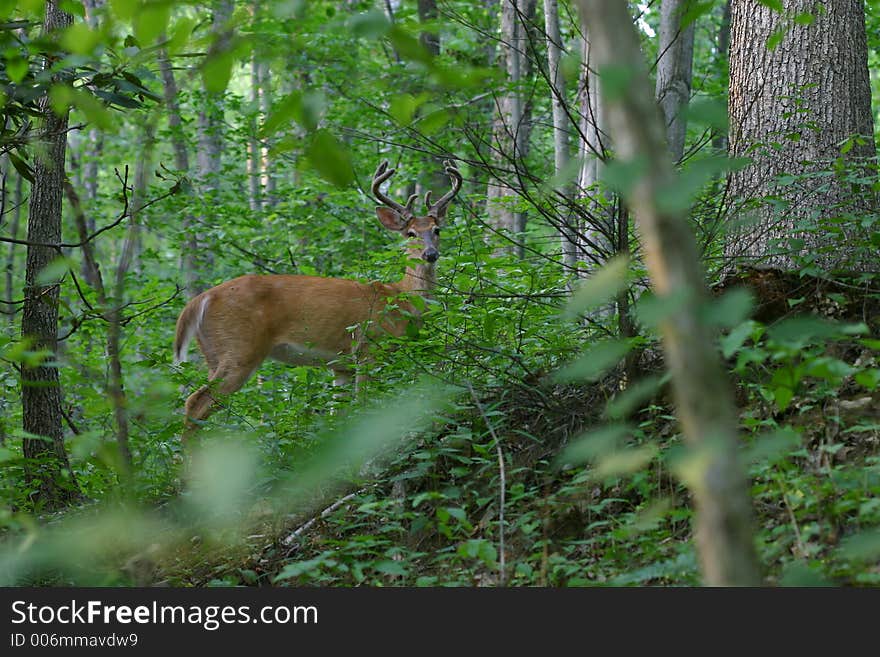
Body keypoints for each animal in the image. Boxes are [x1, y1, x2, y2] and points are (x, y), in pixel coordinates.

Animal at [170, 160, 460, 436]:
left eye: (437, 229)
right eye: (410, 233)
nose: (430, 254)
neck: (402, 299)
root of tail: (199, 300)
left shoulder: (342, 365)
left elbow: (339, 415)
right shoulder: (369, 348)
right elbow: (364, 406)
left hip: (214, 353)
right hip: (239, 348)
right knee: (195, 402)